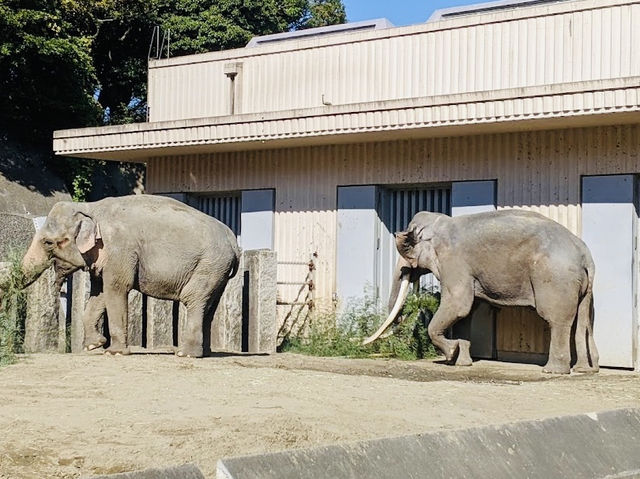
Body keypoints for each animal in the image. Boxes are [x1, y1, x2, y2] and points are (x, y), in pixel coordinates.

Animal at [21, 194, 240, 356]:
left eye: (48, 242)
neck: (90, 207)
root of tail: (232, 239)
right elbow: (100, 294)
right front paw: (94, 345)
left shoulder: (120, 249)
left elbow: (116, 288)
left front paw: (114, 352)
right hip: (218, 270)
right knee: (209, 305)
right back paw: (205, 353)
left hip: (209, 264)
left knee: (193, 298)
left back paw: (185, 354)